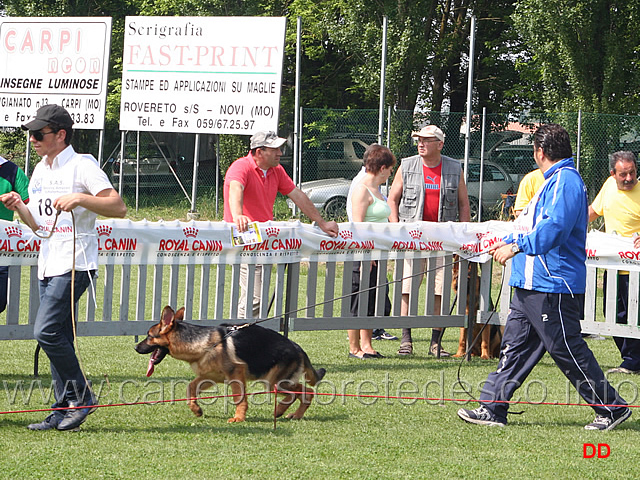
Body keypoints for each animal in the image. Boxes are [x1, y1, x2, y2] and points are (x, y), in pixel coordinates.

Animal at [134, 306, 324, 422]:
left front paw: (238, 418)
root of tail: (298, 347)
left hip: (273, 382)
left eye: (149, 336)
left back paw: (281, 410)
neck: (204, 343)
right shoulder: (208, 378)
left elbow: (239, 398)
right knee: (306, 392)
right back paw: (292, 414)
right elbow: (190, 388)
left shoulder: (235, 376)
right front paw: (196, 409)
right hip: (278, 382)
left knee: (299, 393)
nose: (135, 347)